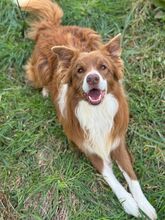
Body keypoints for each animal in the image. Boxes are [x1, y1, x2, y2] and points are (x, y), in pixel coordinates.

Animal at [14, 0, 157, 219]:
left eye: (103, 67)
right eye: (80, 70)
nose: (92, 78)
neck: (97, 111)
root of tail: (52, 27)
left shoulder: (117, 141)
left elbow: (132, 177)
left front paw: (145, 205)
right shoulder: (89, 148)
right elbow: (111, 177)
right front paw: (129, 204)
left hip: (92, 35)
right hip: (40, 67)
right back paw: (46, 90)